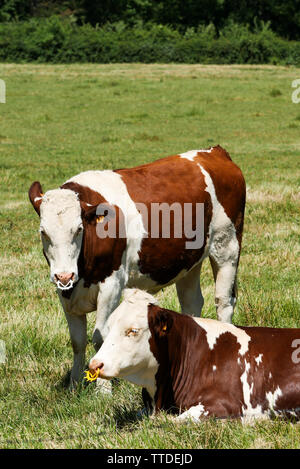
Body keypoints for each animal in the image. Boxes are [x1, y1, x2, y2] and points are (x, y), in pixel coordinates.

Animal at [28, 145, 246, 384]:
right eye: (43, 232)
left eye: (78, 229)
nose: (64, 276)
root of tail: (214, 152)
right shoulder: (66, 293)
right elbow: (77, 341)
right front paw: (75, 385)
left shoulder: (111, 285)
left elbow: (99, 337)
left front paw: (102, 388)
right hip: (189, 261)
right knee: (191, 303)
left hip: (227, 245)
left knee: (224, 301)